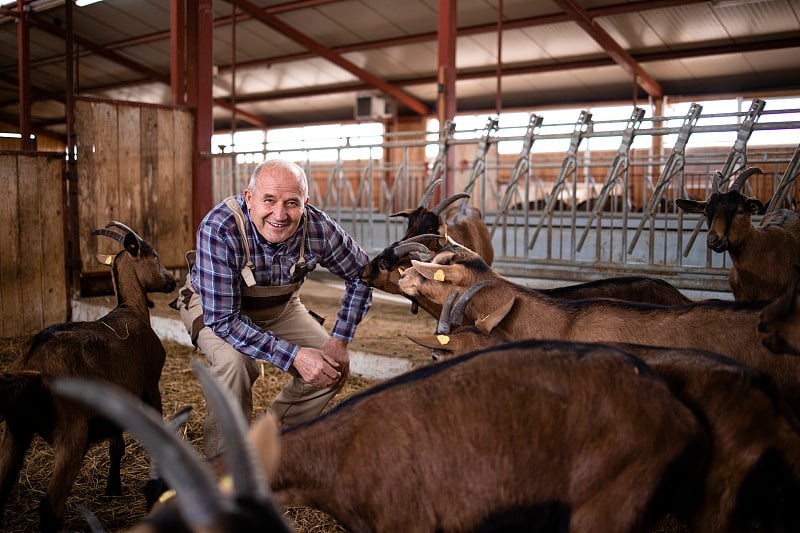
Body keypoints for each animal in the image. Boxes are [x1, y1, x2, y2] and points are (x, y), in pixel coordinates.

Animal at [0, 221, 177, 532]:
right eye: (153, 254)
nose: (171, 282)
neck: (131, 310)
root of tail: (33, 362)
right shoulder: (150, 385)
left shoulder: (118, 399)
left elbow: (116, 446)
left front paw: (112, 487)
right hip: (72, 433)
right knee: (50, 507)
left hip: (15, 430)